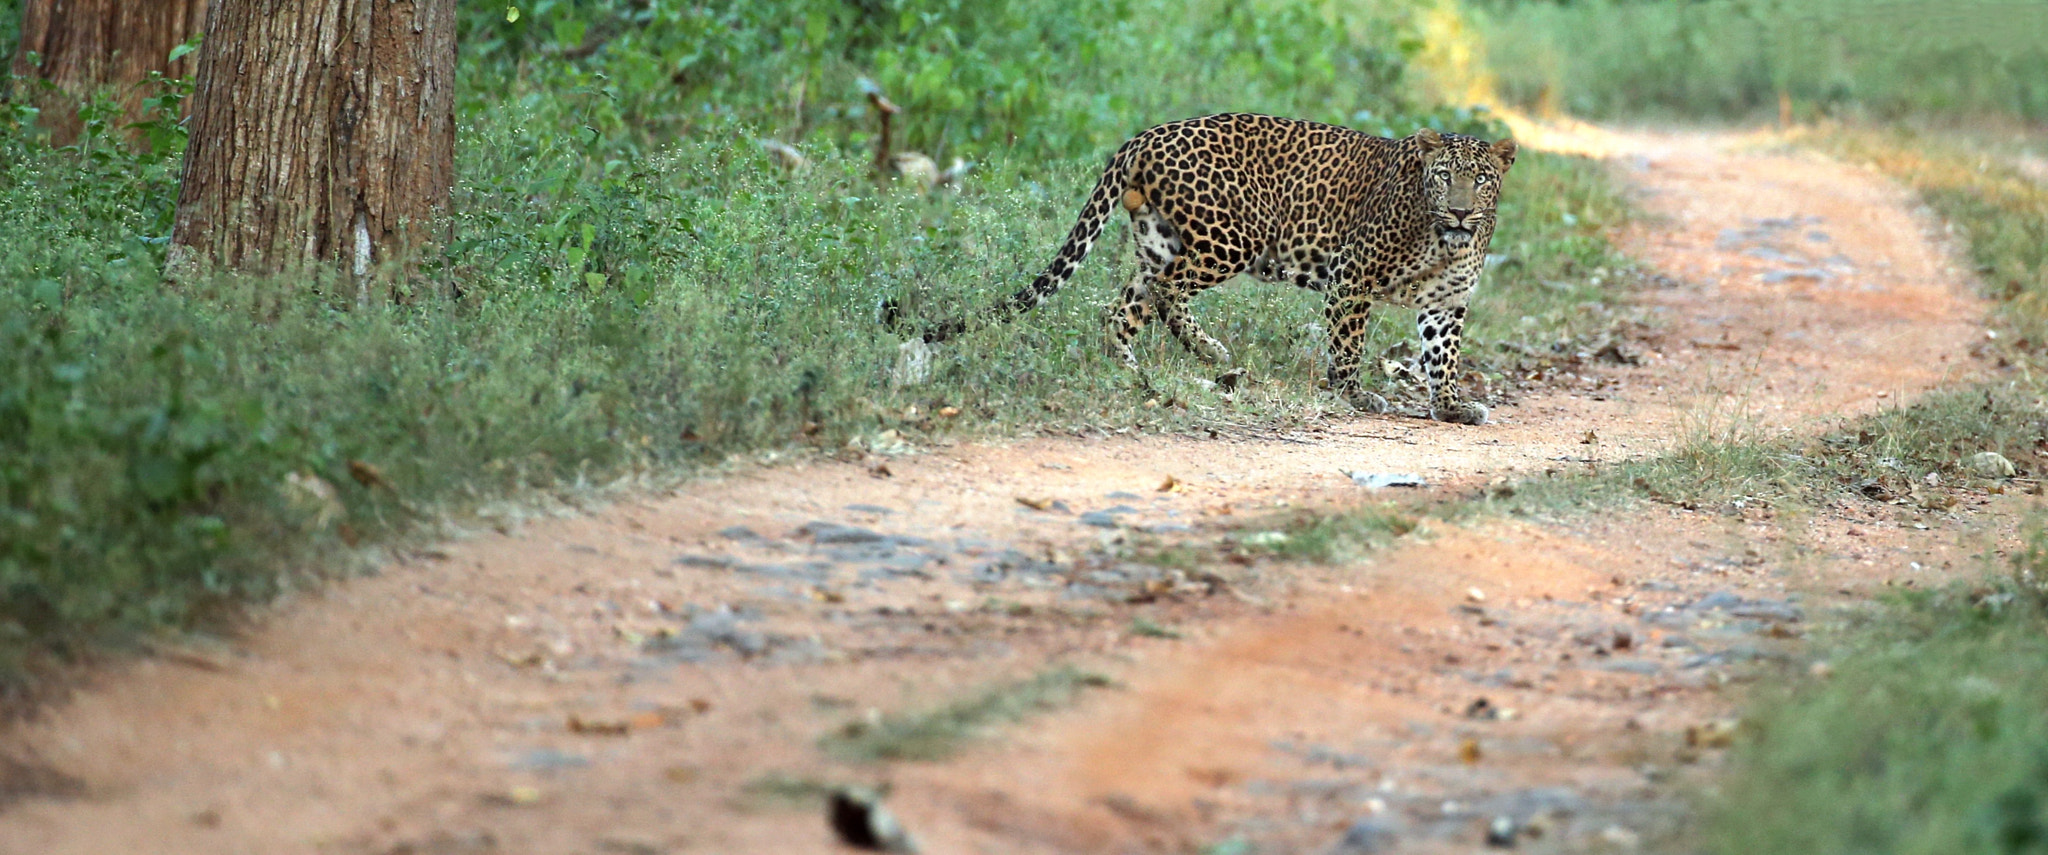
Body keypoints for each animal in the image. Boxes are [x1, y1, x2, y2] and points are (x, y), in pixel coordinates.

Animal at [888, 111, 1515, 424]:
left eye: (1481, 179)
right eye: (1444, 177)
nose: (1462, 210)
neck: (1445, 240)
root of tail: (1144, 135)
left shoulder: (1446, 303)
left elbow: (1443, 358)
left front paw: (1453, 407)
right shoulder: (1352, 276)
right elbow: (1348, 345)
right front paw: (1355, 397)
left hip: (1160, 238)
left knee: (1120, 307)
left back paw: (1136, 377)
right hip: (1235, 234)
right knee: (1167, 290)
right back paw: (1210, 352)